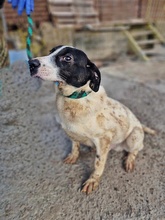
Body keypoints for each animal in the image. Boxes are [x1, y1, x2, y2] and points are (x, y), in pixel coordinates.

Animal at [27, 44, 155, 194]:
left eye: (67, 58)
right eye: (50, 52)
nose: (31, 63)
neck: (75, 98)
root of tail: (140, 125)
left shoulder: (104, 138)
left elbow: (98, 164)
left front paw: (93, 180)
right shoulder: (72, 133)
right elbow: (75, 147)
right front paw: (73, 156)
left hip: (134, 136)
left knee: (134, 150)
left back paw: (129, 160)